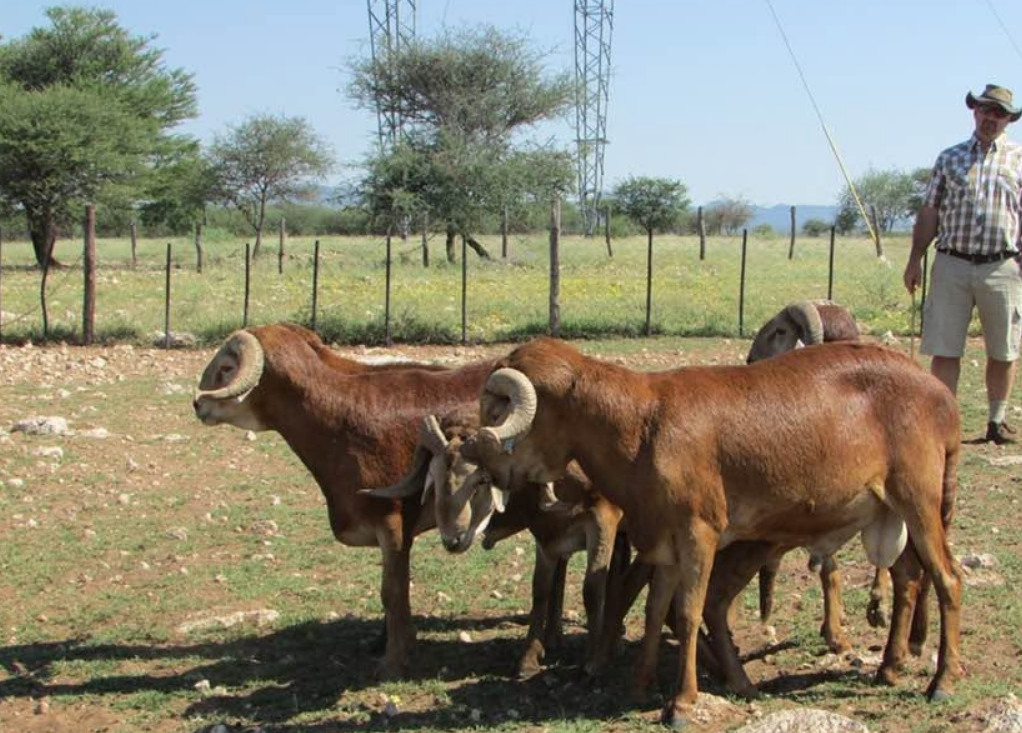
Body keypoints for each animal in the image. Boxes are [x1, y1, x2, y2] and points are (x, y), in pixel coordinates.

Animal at [192, 324, 497, 678]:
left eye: (226, 368)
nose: (197, 404)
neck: (340, 420)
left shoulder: (392, 523)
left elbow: (392, 592)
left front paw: (394, 661)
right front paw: (386, 642)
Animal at [463, 337, 961, 727]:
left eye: (499, 407)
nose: (484, 462)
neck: (642, 425)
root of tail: (941, 396)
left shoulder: (698, 532)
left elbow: (687, 612)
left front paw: (682, 703)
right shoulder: (664, 543)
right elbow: (654, 610)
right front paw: (640, 685)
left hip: (917, 498)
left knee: (948, 580)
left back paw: (943, 680)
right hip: (889, 510)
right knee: (908, 579)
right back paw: (890, 668)